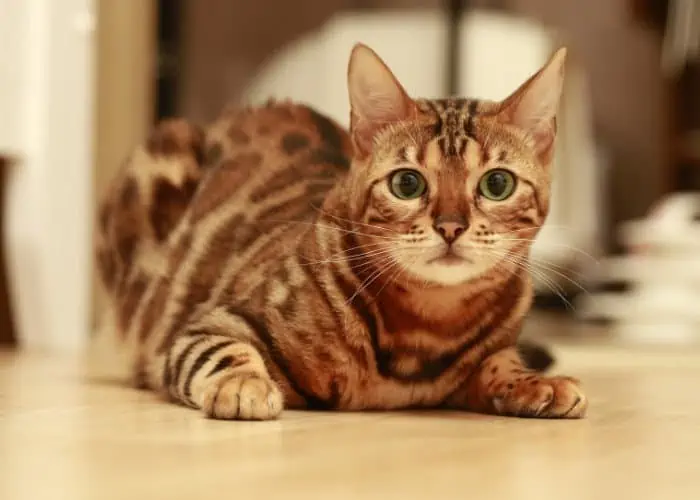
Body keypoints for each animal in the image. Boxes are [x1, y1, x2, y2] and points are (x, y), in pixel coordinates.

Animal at [93, 43, 584, 420]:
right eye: (407, 184)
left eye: (496, 184)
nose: (450, 225)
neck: (427, 329)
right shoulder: (209, 323)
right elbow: (223, 351)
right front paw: (243, 381)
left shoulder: (493, 350)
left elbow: (502, 362)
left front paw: (538, 382)